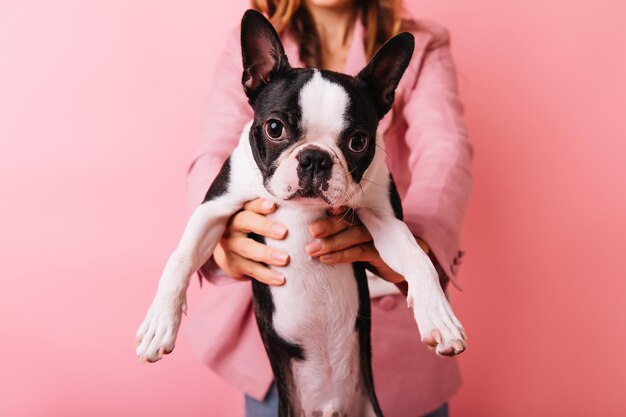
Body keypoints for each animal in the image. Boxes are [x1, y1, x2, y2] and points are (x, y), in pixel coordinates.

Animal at [134, 9, 464, 416]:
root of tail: (330, 407)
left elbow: (419, 259)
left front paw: (438, 318)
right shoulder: (214, 208)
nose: (315, 158)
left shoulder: (386, 220)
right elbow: (180, 257)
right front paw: (159, 324)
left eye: (359, 141)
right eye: (275, 128)